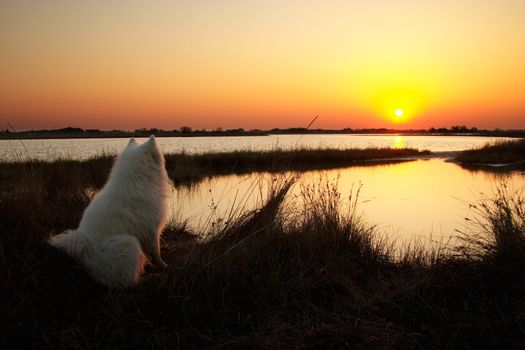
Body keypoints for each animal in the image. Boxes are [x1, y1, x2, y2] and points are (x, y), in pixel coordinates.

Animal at [49, 135, 170, 286]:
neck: (137, 179)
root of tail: (85, 252)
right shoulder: (152, 229)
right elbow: (156, 252)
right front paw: (163, 265)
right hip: (129, 243)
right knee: (129, 282)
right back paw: (153, 276)